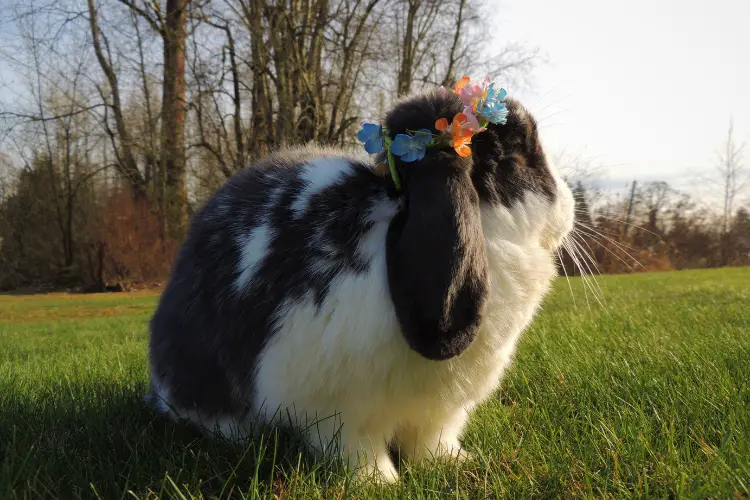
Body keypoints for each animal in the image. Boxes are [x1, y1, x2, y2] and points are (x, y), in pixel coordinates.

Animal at [150, 87, 580, 484]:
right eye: (516, 157)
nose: (569, 204)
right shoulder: (335, 407)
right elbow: (355, 445)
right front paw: (379, 481)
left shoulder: (440, 411)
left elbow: (432, 440)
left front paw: (453, 463)